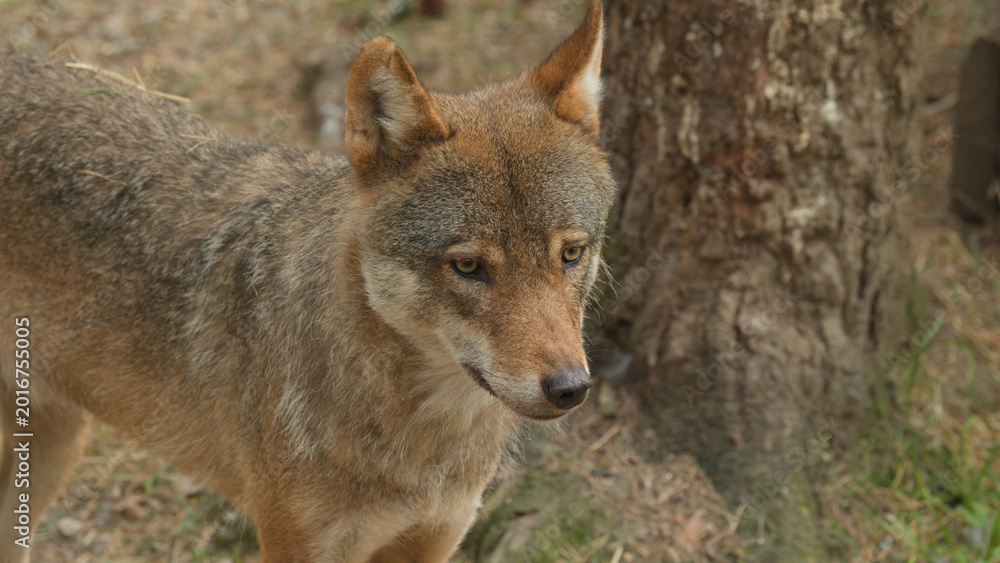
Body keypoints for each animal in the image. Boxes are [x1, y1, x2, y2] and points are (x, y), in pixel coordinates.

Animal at [0, 2, 613, 561]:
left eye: (571, 253)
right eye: (468, 267)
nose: (569, 388)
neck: (420, 445)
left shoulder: (435, 538)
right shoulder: (295, 543)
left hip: (54, 449)